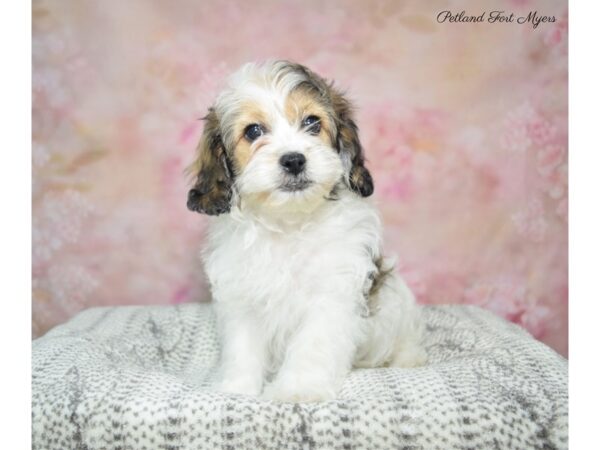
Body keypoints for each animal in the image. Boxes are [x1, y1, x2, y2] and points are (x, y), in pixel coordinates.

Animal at [188, 61, 426, 402]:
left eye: (312, 123)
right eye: (253, 131)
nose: (293, 160)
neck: (289, 222)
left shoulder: (331, 294)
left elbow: (312, 346)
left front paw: (298, 389)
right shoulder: (243, 296)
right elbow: (243, 347)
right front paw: (237, 388)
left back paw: (409, 357)